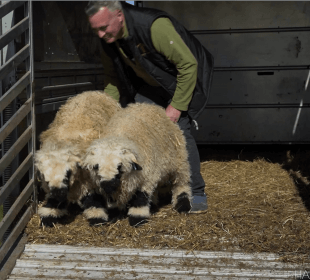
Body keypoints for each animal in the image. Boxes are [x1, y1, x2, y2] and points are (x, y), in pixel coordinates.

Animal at [34, 91, 120, 226]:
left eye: (68, 173)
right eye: (45, 178)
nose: (59, 194)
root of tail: (95, 91)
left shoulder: (90, 181)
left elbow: (93, 199)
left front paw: (97, 217)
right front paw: (49, 214)